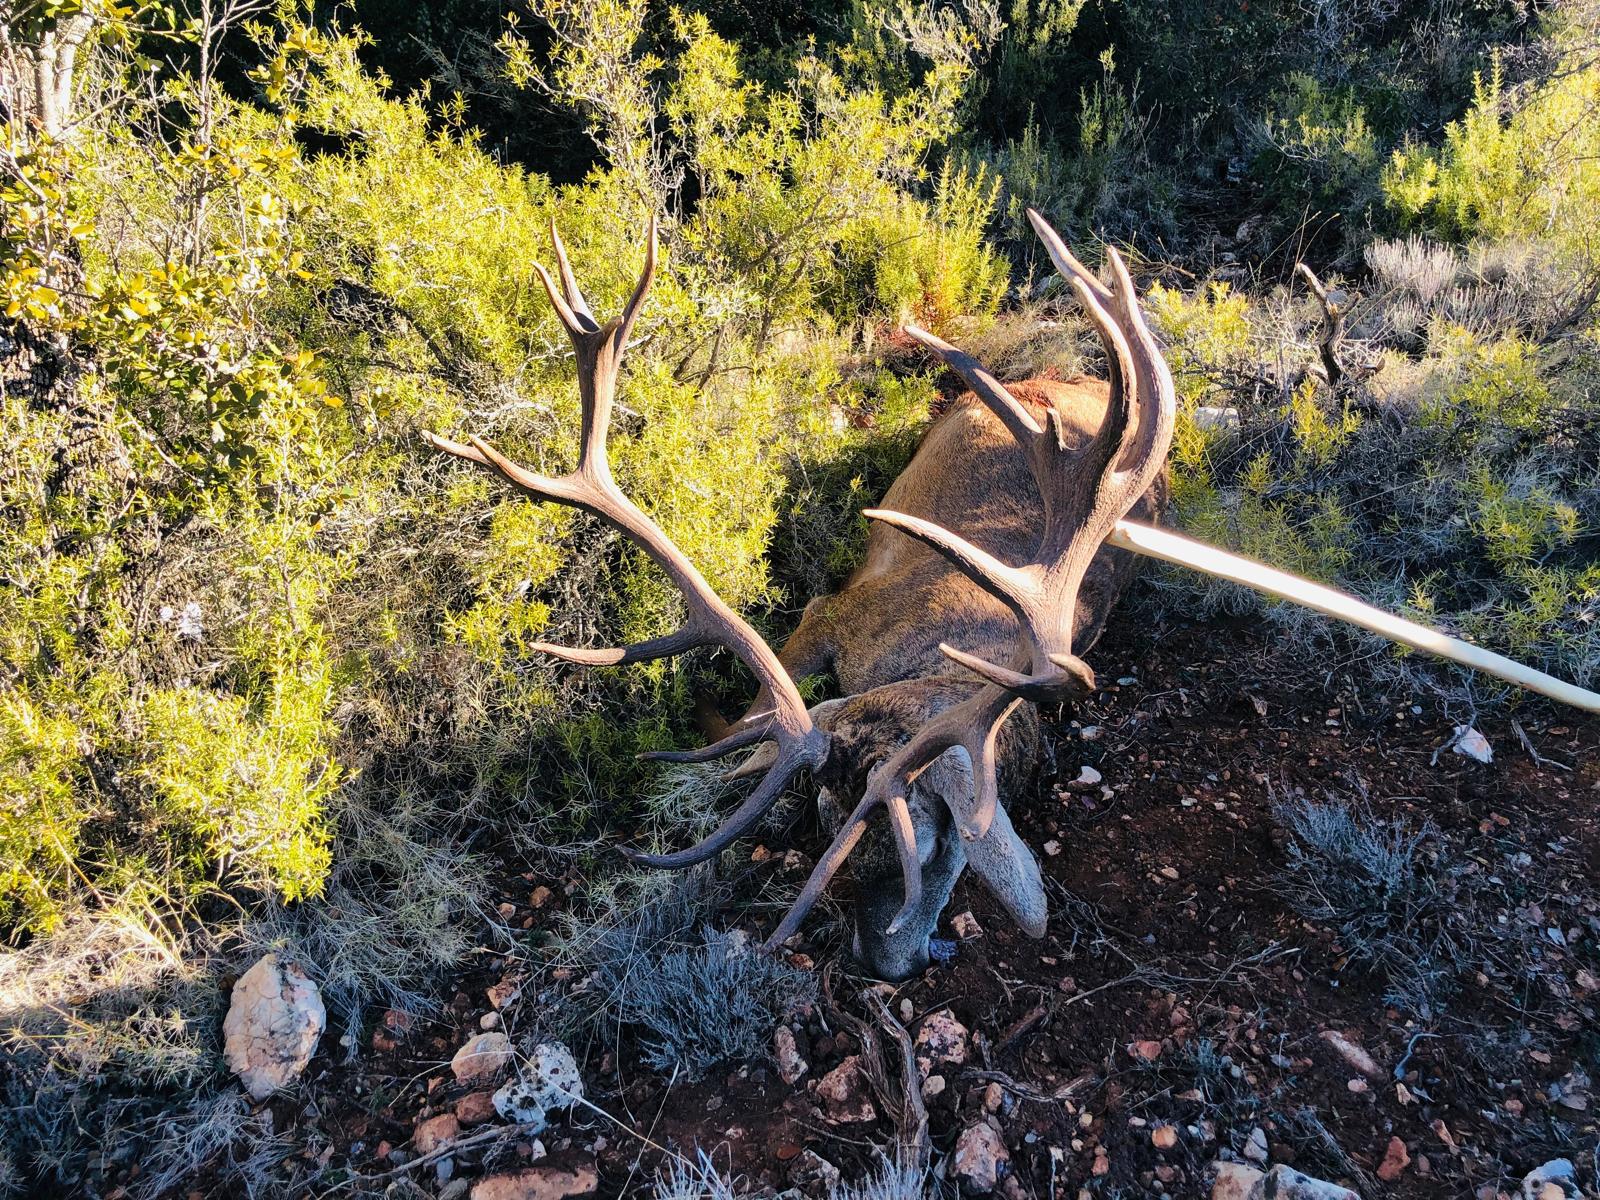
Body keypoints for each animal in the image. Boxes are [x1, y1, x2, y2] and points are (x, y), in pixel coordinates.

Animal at [426, 212, 1600, 981]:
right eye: (820, 819)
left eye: (938, 835)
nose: (883, 956)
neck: (929, 665)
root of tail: (1079, 378)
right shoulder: (832, 616)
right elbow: (760, 701)